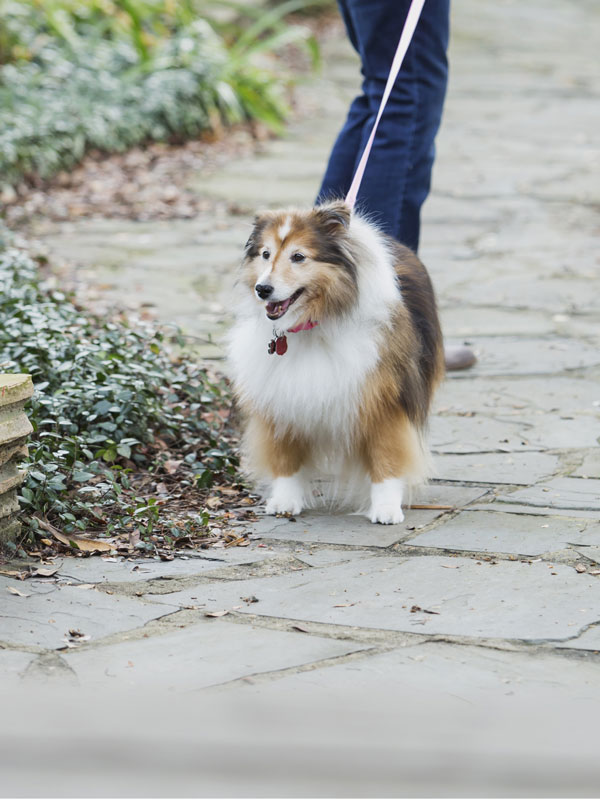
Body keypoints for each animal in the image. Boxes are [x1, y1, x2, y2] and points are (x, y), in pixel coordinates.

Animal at [227, 200, 442, 524]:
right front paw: (285, 500)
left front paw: (386, 508)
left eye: (298, 256)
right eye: (265, 254)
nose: (262, 289)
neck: (314, 322)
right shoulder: (281, 395)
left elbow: (387, 456)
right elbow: (285, 456)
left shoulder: (384, 400)